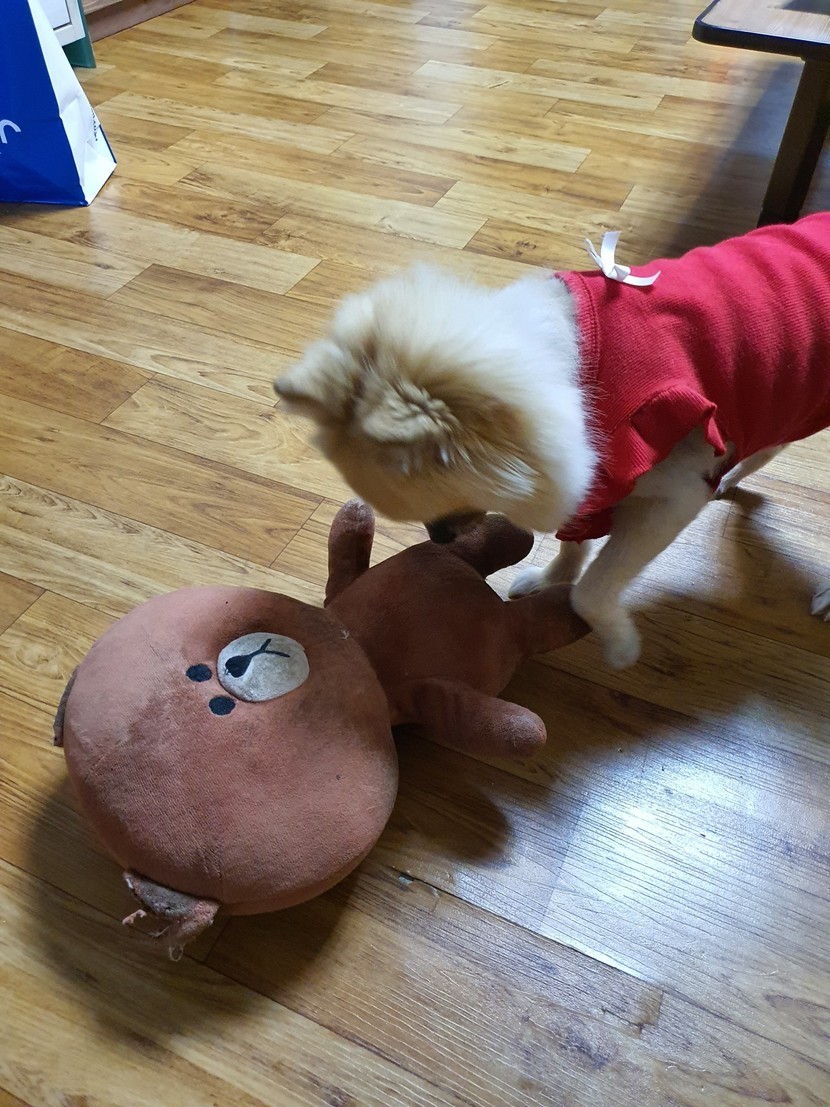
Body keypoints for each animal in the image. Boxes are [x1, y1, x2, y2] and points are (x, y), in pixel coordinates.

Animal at [275, 214, 830, 668]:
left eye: (449, 503)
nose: (440, 538)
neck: (583, 374)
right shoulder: (595, 480)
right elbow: (573, 544)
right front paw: (549, 579)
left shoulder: (670, 497)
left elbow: (594, 587)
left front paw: (619, 642)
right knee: (767, 445)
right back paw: (731, 475)